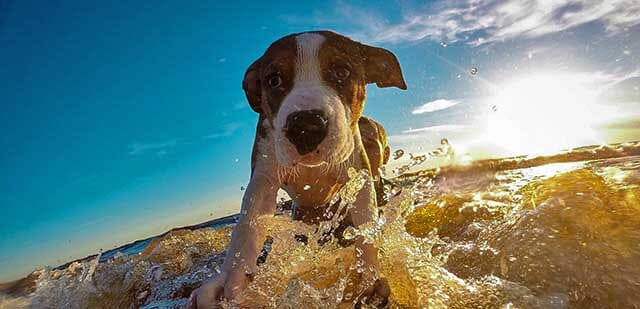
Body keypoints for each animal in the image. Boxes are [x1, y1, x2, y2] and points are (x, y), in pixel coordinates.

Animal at [190, 30, 404, 306]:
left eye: (342, 72)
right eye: (274, 80)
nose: (306, 126)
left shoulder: (358, 173)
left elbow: (365, 225)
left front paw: (368, 276)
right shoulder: (264, 176)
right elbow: (247, 228)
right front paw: (231, 284)